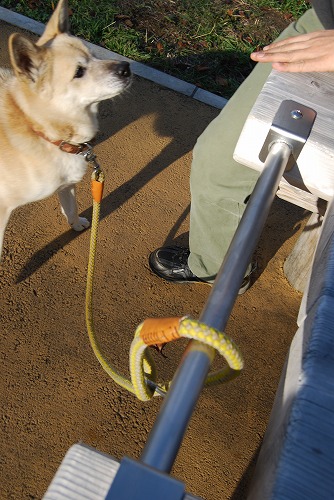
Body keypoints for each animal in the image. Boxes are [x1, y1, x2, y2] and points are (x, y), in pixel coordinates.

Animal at [0, 0, 131, 258]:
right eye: (78, 72)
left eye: (95, 56)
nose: (126, 67)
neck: (42, 130)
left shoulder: (67, 184)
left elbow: (71, 206)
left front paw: (76, 224)